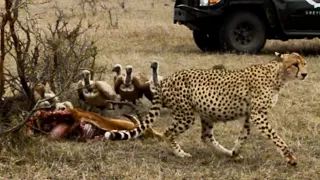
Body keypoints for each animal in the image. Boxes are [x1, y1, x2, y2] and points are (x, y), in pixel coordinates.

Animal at [104, 51, 308, 165]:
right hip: (186, 114)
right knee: (169, 133)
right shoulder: (259, 115)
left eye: (304, 63)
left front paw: (235, 151)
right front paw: (290, 158)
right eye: (294, 64)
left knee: (205, 136)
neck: (278, 74)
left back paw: (226, 152)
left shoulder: (252, 114)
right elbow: (276, 138)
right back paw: (181, 154)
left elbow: (243, 135)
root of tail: (166, 79)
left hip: (206, 112)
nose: (305, 74)